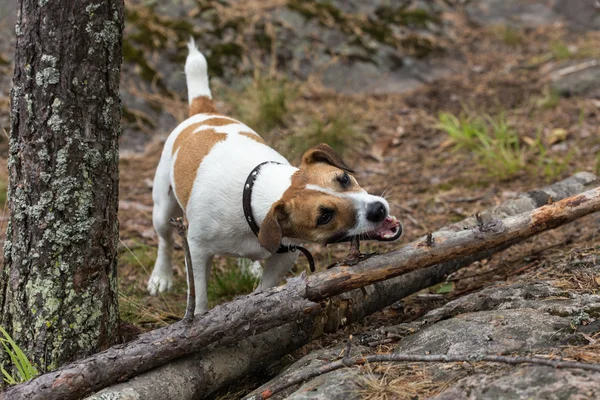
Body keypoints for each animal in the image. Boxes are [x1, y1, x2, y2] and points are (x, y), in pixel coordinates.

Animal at [147, 39, 400, 314]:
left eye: (343, 178)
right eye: (324, 216)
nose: (378, 209)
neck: (253, 191)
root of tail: (203, 112)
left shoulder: (286, 253)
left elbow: (265, 288)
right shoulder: (197, 251)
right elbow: (200, 297)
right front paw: (199, 319)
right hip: (163, 208)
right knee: (164, 241)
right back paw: (161, 276)